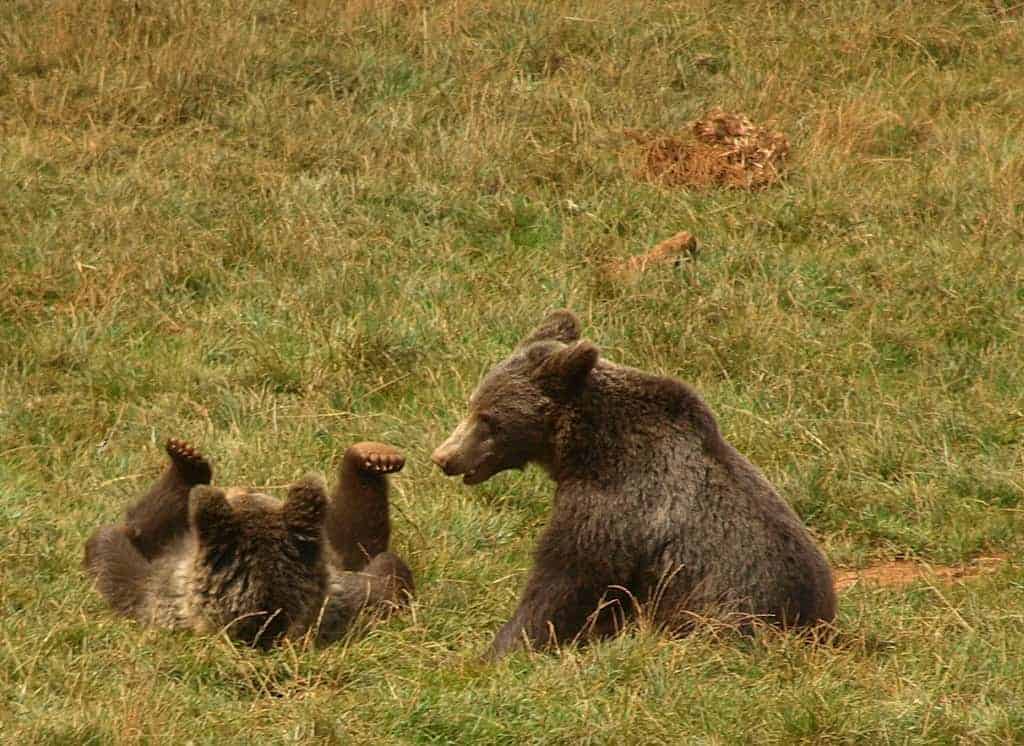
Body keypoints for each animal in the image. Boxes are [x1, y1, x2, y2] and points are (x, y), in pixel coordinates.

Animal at [431, 310, 836, 659]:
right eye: (472, 403)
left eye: (488, 418)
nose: (444, 457)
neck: (585, 448)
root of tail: (819, 628)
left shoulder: (616, 507)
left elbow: (564, 582)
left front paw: (500, 649)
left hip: (728, 610)